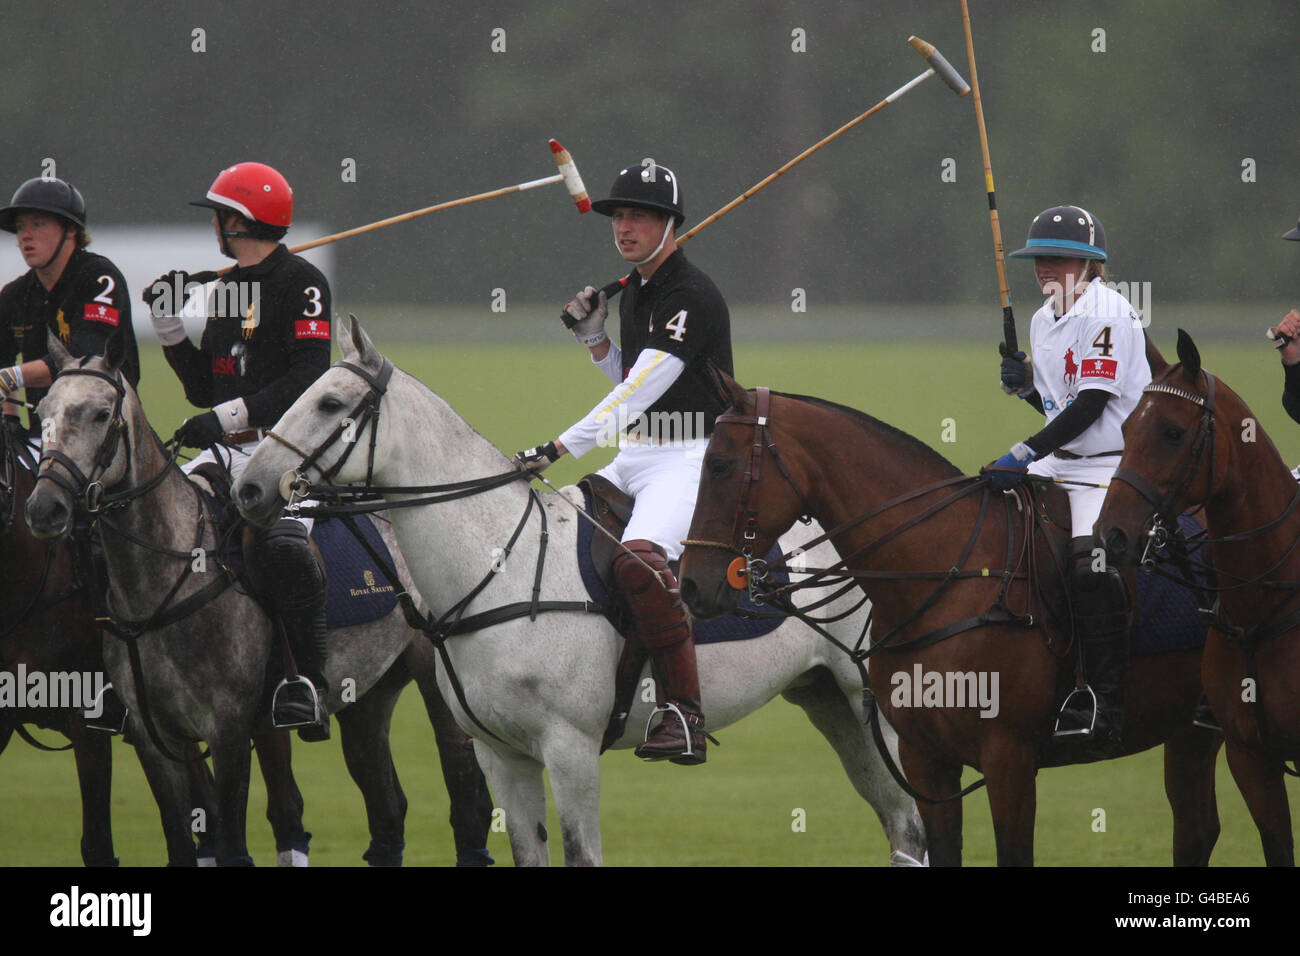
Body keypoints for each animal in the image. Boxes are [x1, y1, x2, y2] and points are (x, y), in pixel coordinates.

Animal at [231, 319, 925, 868]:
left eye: (329, 402)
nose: (250, 490)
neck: (497, 567)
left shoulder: (570, 748)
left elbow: (581, 853)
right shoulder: (501, 754)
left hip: (874, 700)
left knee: (913, 822)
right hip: (828, 700)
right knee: (899, 825)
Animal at [681, 374, 1216, 868]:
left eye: (719, 465)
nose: (690, 586)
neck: (948, 574)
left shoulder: (1009, 760)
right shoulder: (927, 759)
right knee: (1196, 827)